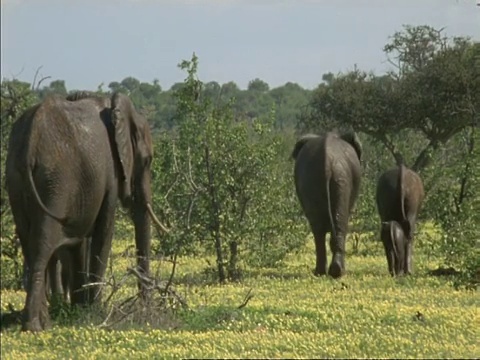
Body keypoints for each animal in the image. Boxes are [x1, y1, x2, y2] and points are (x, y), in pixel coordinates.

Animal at [4, 90, 167, 332]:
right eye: (147, 161)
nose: (146, 310)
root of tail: (31, 138)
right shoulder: (110, 173)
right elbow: (104, 231)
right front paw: (94, 311)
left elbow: (80, 242)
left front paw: (80, 309)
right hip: (57, 183)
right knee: (43, 243)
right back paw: (35, 326)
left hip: (17, 180)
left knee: (29, 242)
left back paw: (42, 321)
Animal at [290, 131, 362, 278]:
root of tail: (327, 160)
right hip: (340, 178)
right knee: (334, 226)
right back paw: (334, 272)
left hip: (322, 179)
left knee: (320, 228)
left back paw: (327, 272)